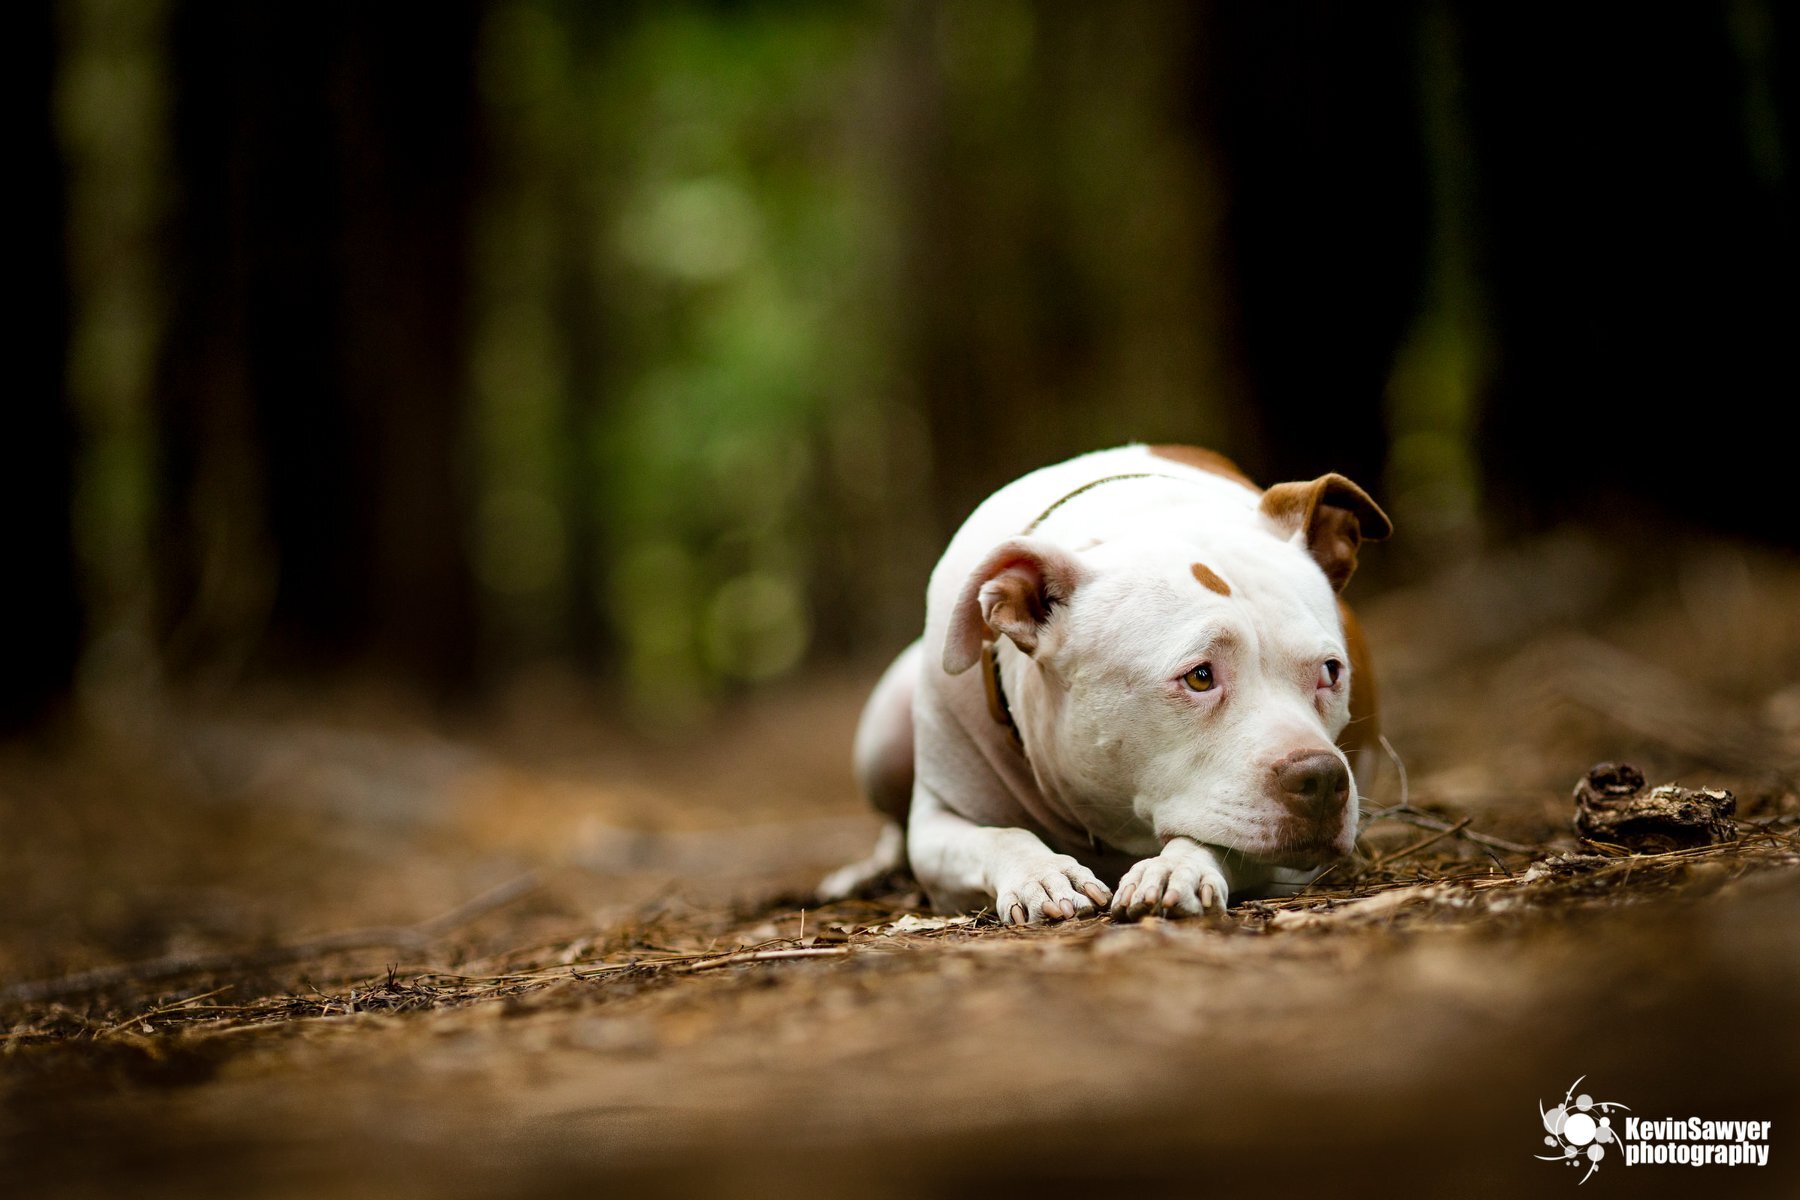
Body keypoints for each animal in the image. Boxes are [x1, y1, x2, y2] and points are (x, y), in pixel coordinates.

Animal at [820, 446, 1389, 928]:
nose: (1322, 779)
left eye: (1331, 671)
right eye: (1200, 676)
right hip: (882, 736)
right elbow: (997, 837)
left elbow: (1217, 841)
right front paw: (1040, 875)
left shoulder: (1284, 859)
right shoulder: (938, 821)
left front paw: (1177, 868)